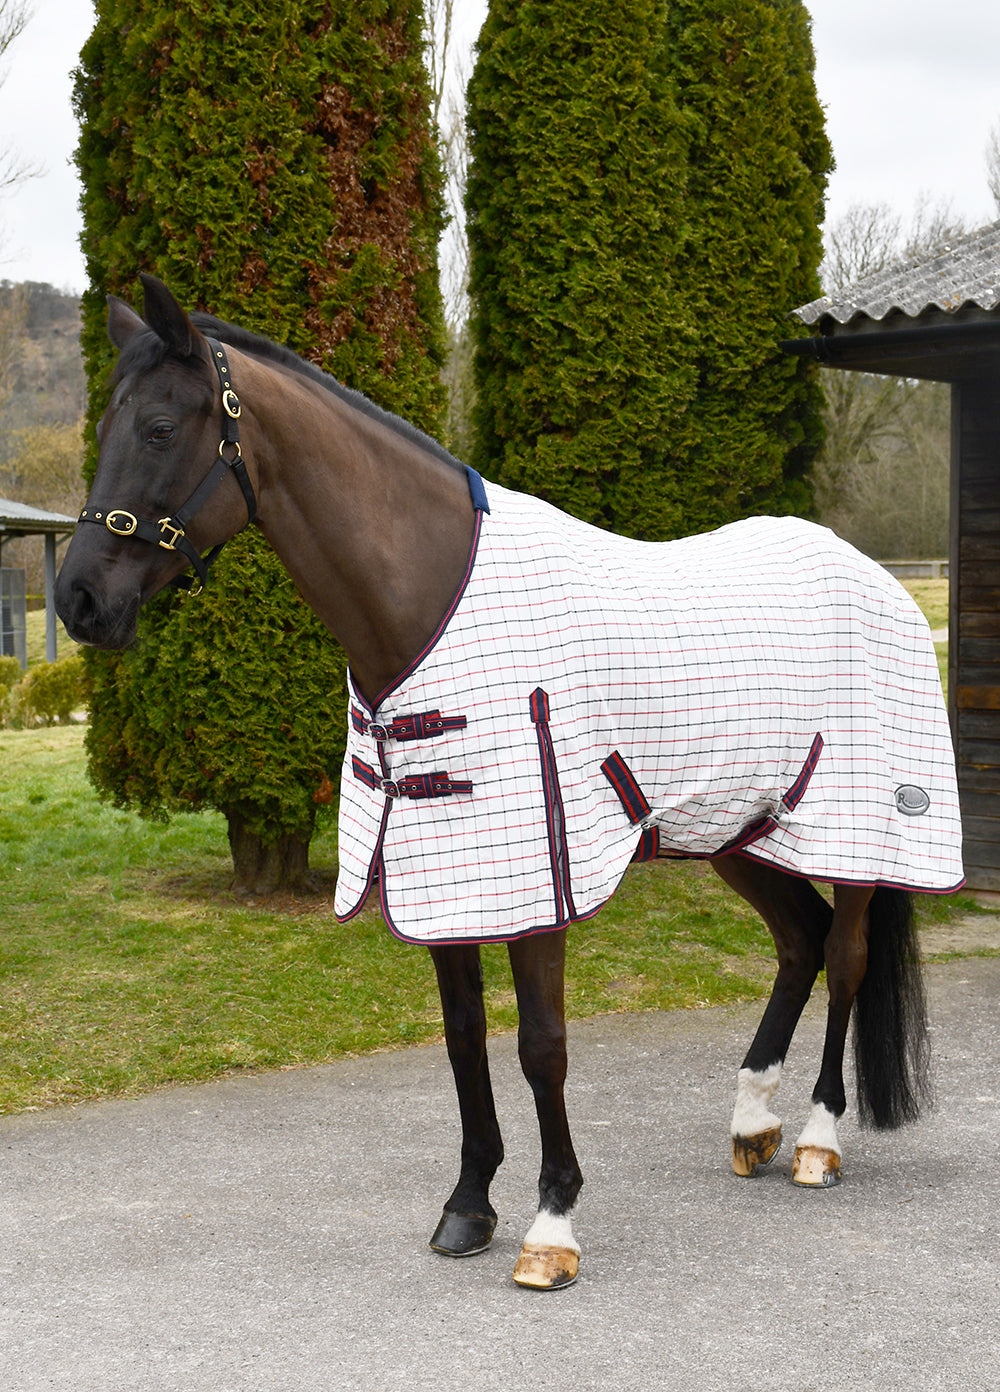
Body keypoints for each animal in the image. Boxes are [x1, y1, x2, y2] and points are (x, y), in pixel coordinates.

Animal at [55, 276, 964, 1291]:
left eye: (161, 427)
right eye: (109, 427)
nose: (79, 600)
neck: (428, 601)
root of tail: (876, 578)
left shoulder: (537, 881)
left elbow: (542, 1048)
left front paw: (552, 1226)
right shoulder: (442, 869)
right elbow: (463, 1040)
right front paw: (468, 1205)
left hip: (860, 834)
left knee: (843, 957)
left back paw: (815, 1139)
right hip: (738, 831)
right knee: (799, 943)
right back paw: (752, 1123)